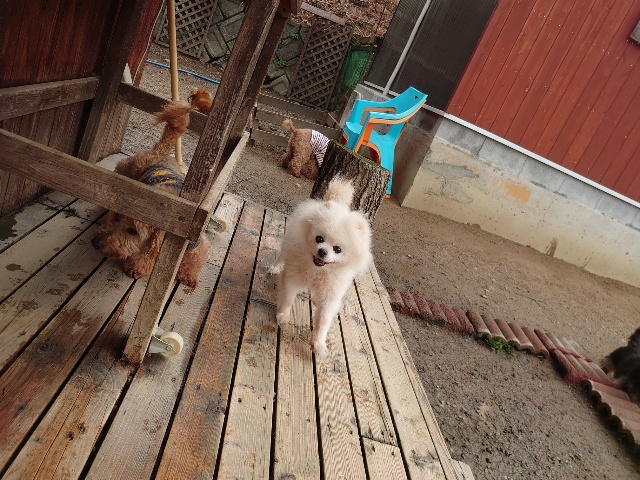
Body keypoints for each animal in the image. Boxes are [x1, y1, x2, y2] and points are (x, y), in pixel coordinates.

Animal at [91, 101, 210, 288]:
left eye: (133, 231)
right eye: (117, 217)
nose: (95, 243)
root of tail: (159, 151)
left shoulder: (197, 243)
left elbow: (195, 258)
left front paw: (188, 275)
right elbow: (145, 254)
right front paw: (137, 267)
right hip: (124, 173)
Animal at [269, 176, 372, 356]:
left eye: (337, 249)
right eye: (319, 238)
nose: (323, 251)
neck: (318, 270)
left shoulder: (330, 294)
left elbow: (324, 319)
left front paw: (318, 343)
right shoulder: (293, 276)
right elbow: (288, 297)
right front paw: (283, 315)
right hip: (287, 244)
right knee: (281, 255)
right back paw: (275, 267)